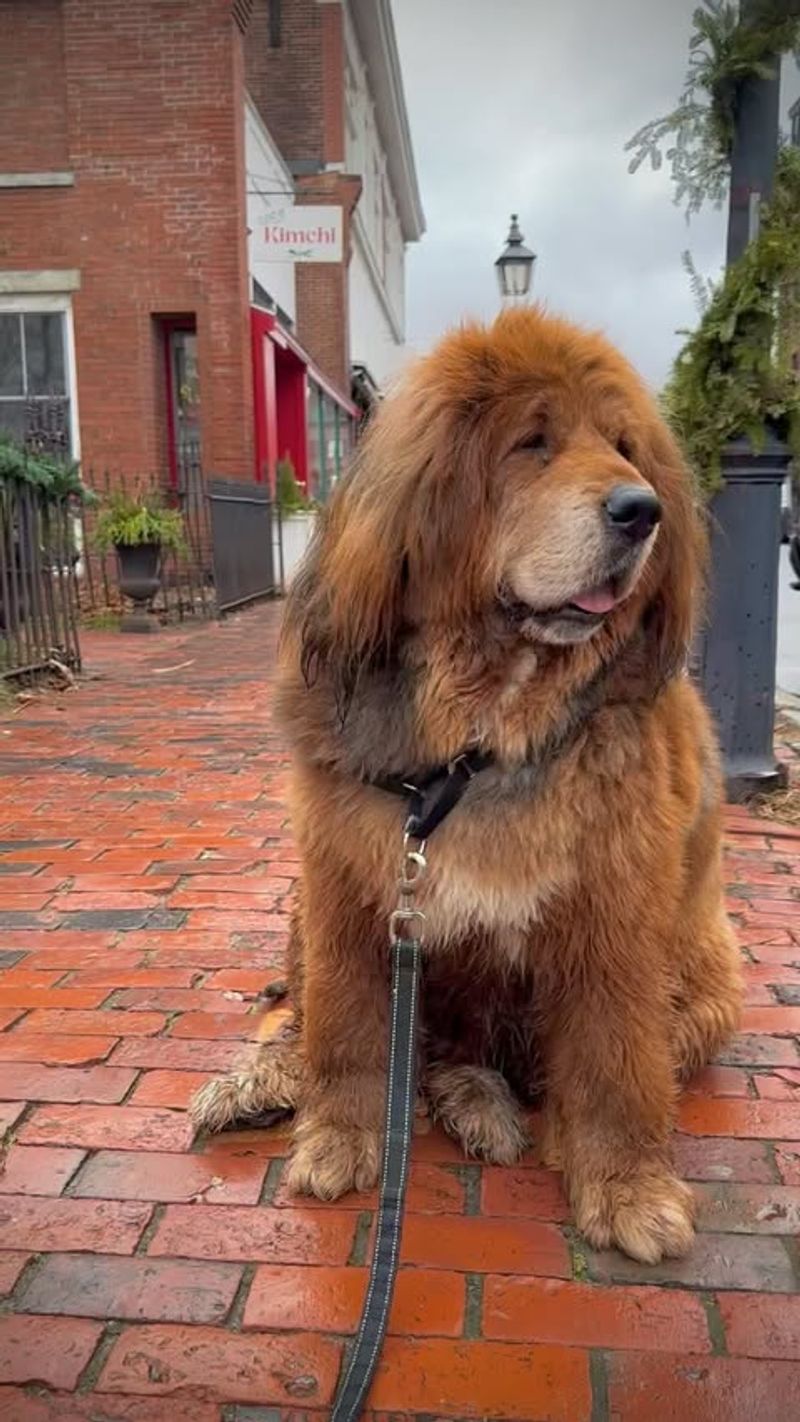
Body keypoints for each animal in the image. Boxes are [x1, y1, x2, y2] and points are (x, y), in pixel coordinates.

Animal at [190, 305, 744, 1262]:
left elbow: (614, 1060)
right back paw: (266, 1079)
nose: (642, 510)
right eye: (532, 444)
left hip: (702, 992)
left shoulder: (613, 915)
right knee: (320, 1022)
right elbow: (348, 1031)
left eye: (626, 447)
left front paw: (626, 1187)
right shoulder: (349, 889)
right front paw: (341, 1137)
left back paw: (483, 1102)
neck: (482, 732)